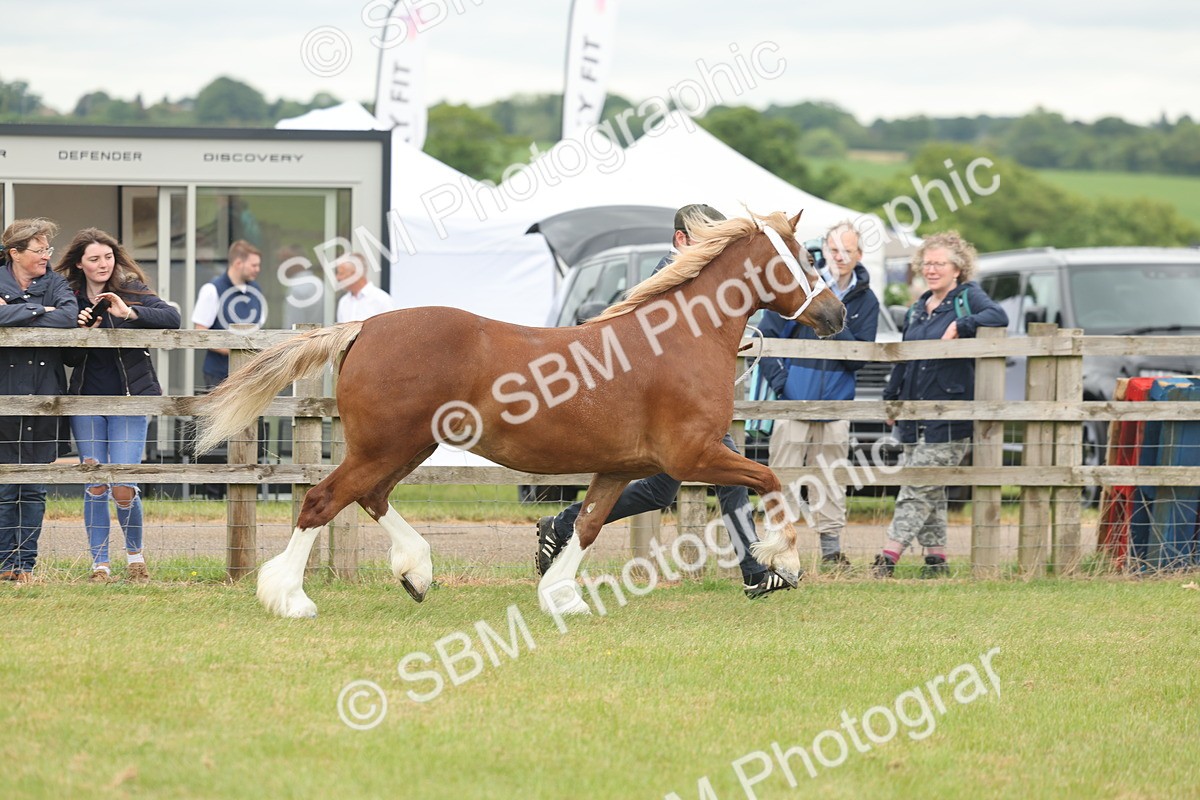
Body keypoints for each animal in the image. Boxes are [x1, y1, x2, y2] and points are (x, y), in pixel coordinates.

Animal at [193, 210, 845, 618]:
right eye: (799, 262)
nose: (836, 315)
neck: (680, 340)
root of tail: (363, 326)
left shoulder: (620, 467)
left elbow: (586, 524)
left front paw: (561, 594)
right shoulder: (696, 456)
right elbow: (771, 481)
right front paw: (782, 563)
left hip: (406, 448)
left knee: (369, 497)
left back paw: (416, 573)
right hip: (385, 446)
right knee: (322, 501)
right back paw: (291, 598)